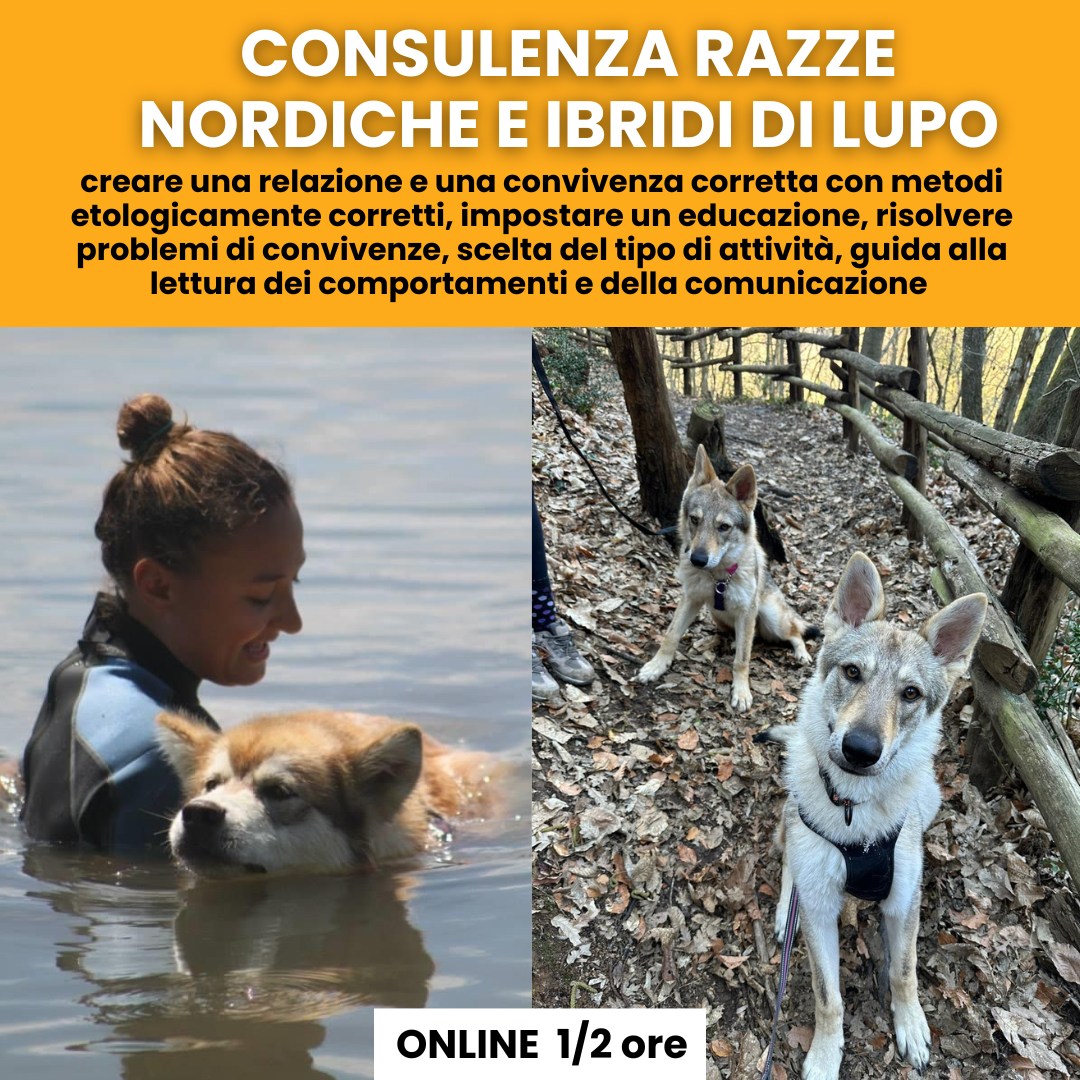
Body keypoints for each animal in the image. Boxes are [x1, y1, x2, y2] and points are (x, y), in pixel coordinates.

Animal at [637, 445, 818, 711]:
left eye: (724, 527)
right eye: (694, 519)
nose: (697, 559)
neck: (718, 579)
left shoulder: (746, 611)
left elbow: (742, 660)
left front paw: (741, 692)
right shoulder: (691, 599)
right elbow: (670, 635)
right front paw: (656, 666)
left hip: (771, 617)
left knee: (794, 633)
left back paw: (802, 654)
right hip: (719, 616)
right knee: (745, 636)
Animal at [761, 552, 987, 1080]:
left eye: (910, 693)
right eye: (852, 672)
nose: (860, 749)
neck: (854, 813)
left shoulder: (903, 900)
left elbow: (903, 972)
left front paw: (911, 1025)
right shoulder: (820, 911)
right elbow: (829, 998)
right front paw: (825, 1056)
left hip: (931, 799)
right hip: (792, 827)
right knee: (789, 865)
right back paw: (784, 912)